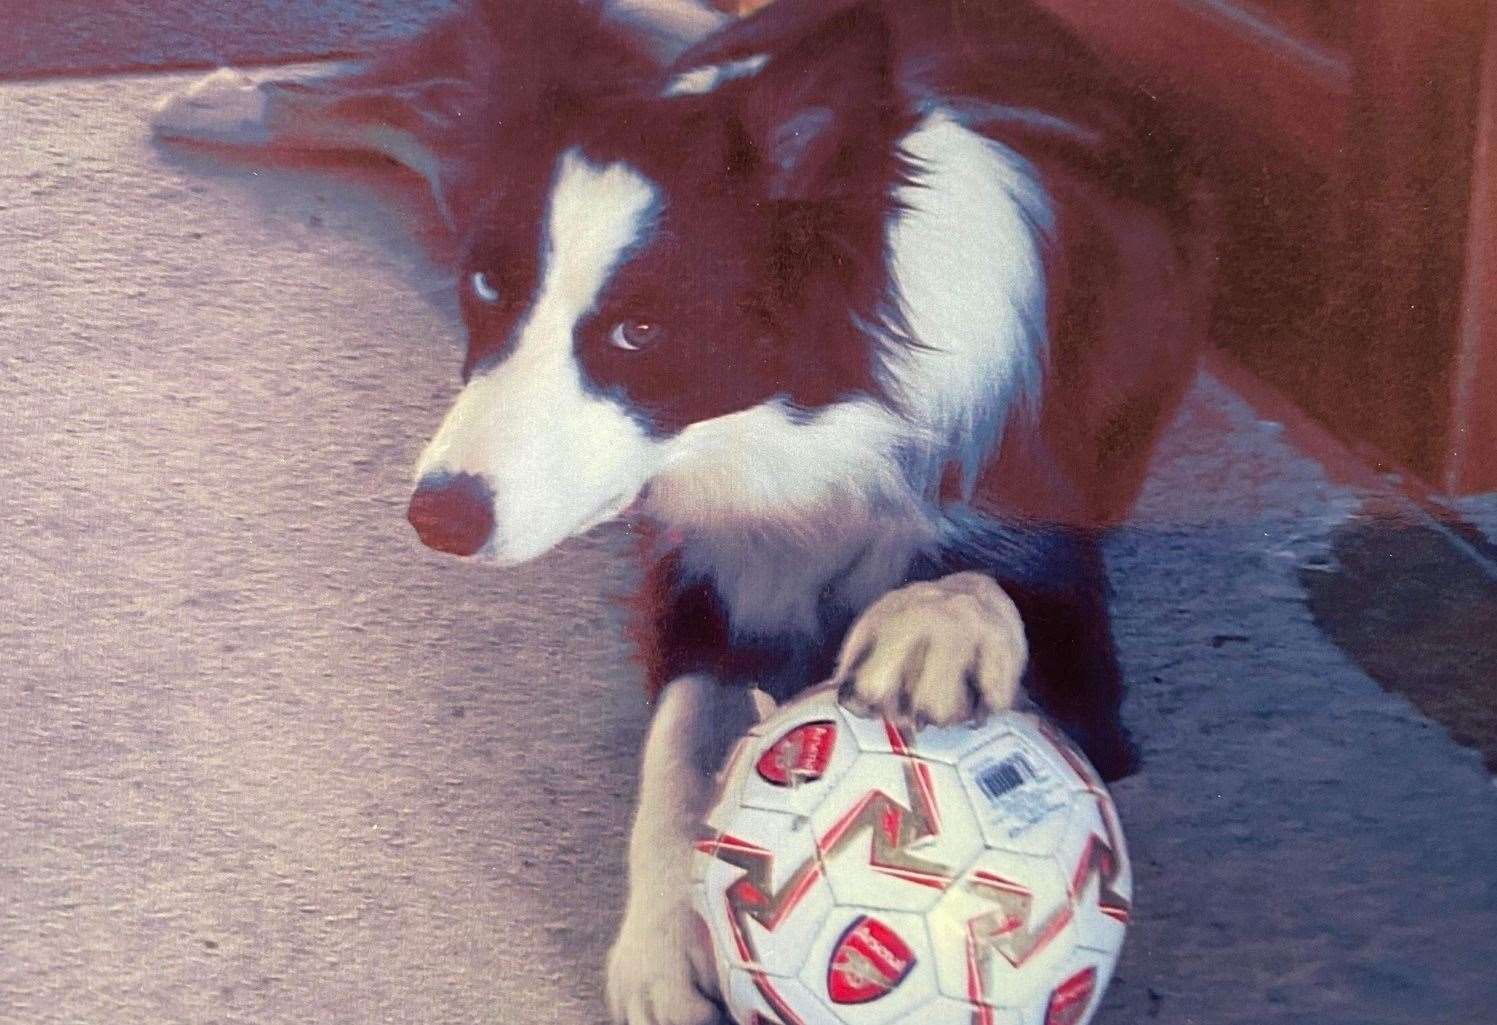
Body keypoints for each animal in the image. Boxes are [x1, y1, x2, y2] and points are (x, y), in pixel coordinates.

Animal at [154, 3, 1203, 1017]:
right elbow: (678, 747)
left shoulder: (1081, 660)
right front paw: (661, 947)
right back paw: (223, 100)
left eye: (639, 330)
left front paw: (935, 624)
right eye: (486, 285)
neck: (796, 426)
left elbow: (989, 595)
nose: (436, 519)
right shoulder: (695, 573)